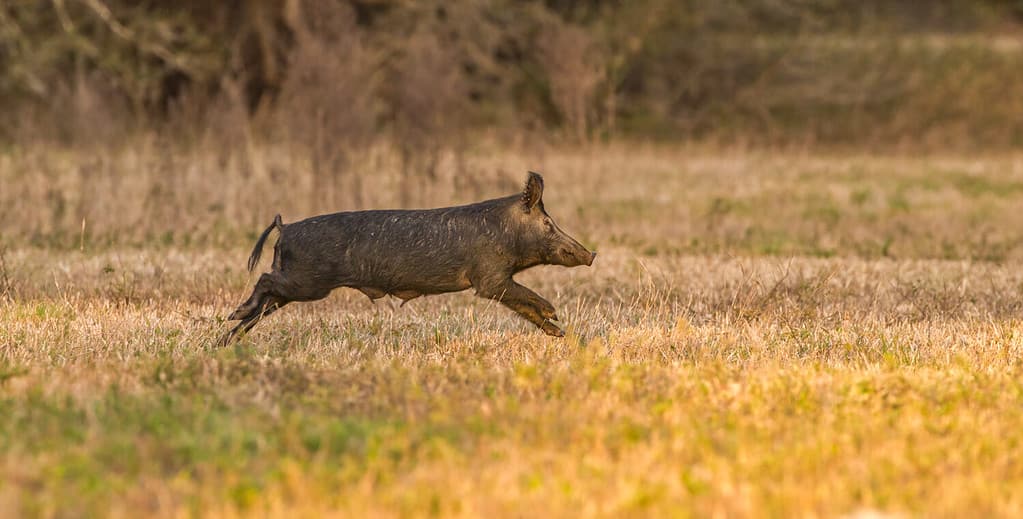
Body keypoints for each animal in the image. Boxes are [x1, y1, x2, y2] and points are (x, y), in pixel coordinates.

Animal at [219, 173, 597, 346]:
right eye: (548, 223)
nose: (591, 254)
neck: (506, 229)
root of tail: (286, 228)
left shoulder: (496, 281)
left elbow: (523, 305)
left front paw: (560, 333)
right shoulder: (488, 278)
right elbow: (526, 297)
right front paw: (555, 315)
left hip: (295, 284)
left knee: (265, 302)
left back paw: (226, 338)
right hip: (307, 281)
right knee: (265, 282)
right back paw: (232, 318)